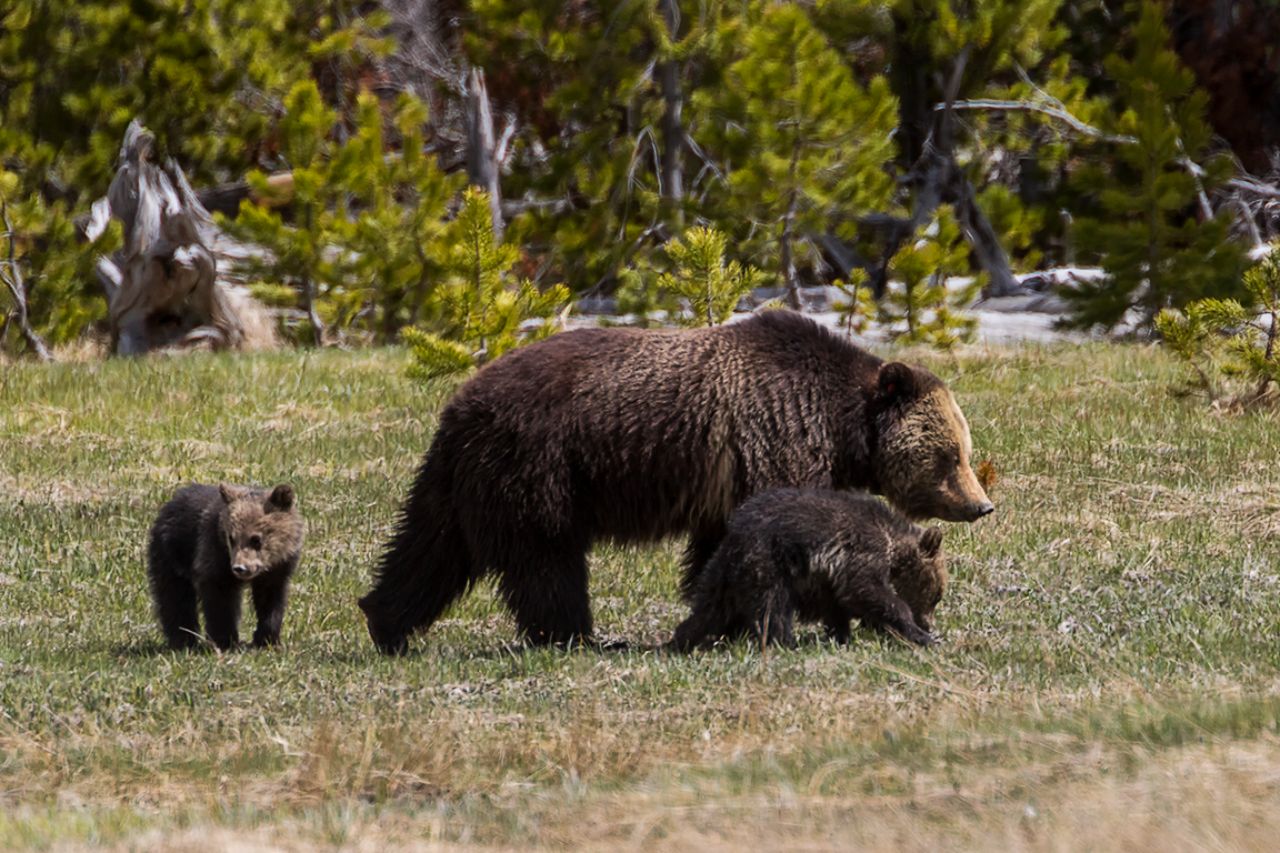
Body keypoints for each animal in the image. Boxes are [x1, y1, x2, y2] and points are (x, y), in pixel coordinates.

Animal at [147, 483, 305, 651]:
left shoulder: (278, 569)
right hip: (171, 554)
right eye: (232, 538)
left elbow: (270, 601)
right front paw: (225, 641)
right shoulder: (214, 556)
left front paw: (268, 640)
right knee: (174, 597)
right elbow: (220, 601)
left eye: (256, 539)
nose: (240, 568)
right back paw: (184, 640)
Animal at [667, 488, 946, 651]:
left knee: (709, 608)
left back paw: (681, 639)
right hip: (768, 565)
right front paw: (918, 633)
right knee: (773, 608)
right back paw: (785, 643)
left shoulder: (828, 575)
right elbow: (868, 591)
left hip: (724, 574)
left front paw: (842, 635)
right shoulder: (864, 549)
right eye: (937, 595)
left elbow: (837, 604)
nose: (928, 624)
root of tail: (732, 539)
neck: (892, 543)